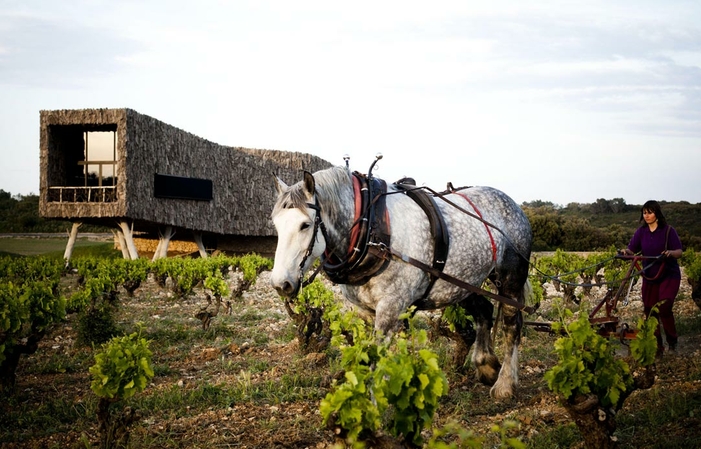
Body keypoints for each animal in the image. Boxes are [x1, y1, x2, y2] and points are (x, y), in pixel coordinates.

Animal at [268, 163, 532, 398]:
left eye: (305, 225)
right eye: (277, 225)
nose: (281, 284)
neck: (371, 228)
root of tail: (512, 203)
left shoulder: (390, 307)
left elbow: (376, 358)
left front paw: (373, 406)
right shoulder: (364, 311)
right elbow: (366, 354)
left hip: (510, 278)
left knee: (511, 324)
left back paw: (505, 384)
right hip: (463, 282)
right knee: (484, 312)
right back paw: (485, 363)